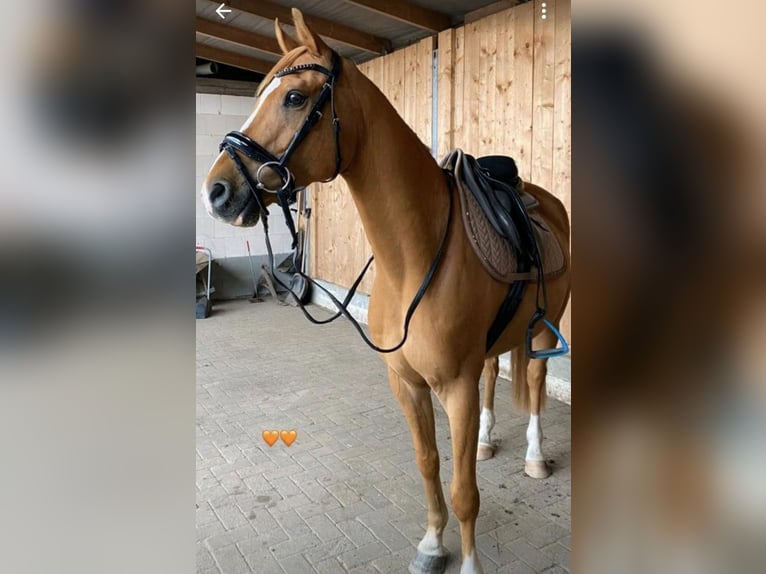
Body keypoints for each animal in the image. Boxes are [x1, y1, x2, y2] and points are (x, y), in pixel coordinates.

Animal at [200, 9, 570, 574]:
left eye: (294, 98)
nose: (217, 192)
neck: (415, 259)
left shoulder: (454, 388)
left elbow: (465, 492)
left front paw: (467, 561)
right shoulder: (406, 383)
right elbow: (428, 463)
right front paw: (432, 544)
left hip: (546, 332)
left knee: (534, 382)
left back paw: (533, 457)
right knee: (493, 373)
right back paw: (487, 440)